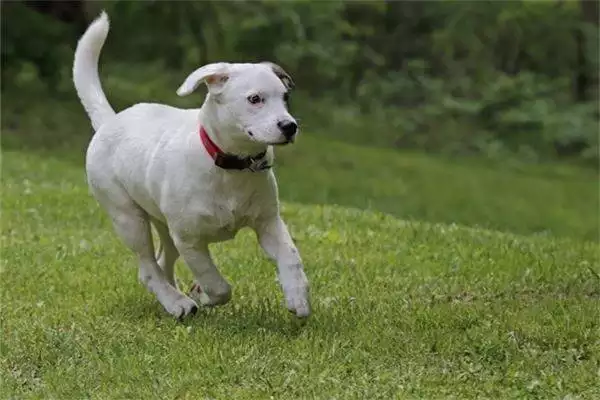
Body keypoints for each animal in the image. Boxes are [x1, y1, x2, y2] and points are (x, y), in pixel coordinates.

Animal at [72, 11, 312, 318]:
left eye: (285, 97)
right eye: (255, 99)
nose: (289, 126)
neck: (230, 166)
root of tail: (109, 122)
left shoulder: (268, 223)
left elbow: (290, 257)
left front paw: (297, 297)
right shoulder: (190, 241)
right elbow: (217, 284)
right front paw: (203, 295)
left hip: (163, 223)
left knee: (162, 261)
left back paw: (172, 299)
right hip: (128, 217)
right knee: (148, 268)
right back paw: (178, 303)